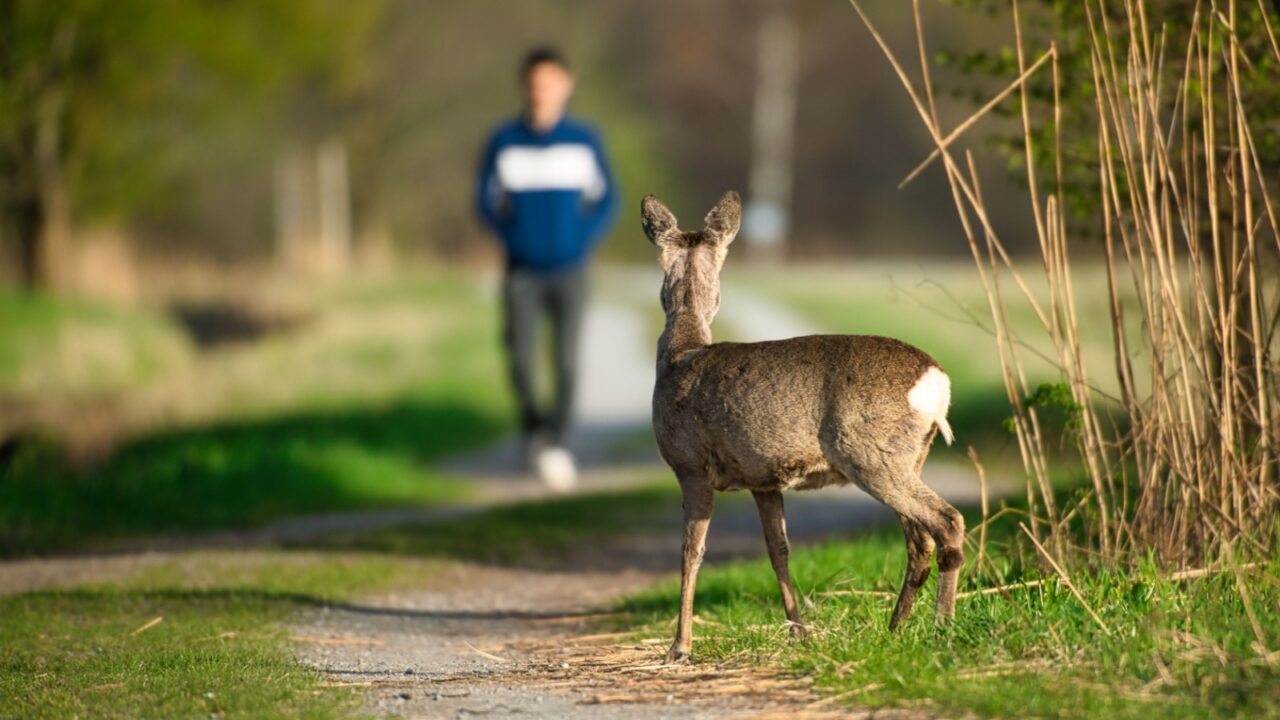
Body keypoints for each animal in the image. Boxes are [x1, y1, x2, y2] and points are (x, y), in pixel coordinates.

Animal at [642, 191, 965, 663]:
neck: (680, 354)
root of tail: (936, 380)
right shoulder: (763, 480)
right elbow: (779, 550)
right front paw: (799, 632)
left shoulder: (690, 466)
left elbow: (691, 552)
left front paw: (679, 647)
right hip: (909, 456)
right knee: (919, 540)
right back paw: (895, 629)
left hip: (870, 454)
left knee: (946, 521)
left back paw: (942, 626)